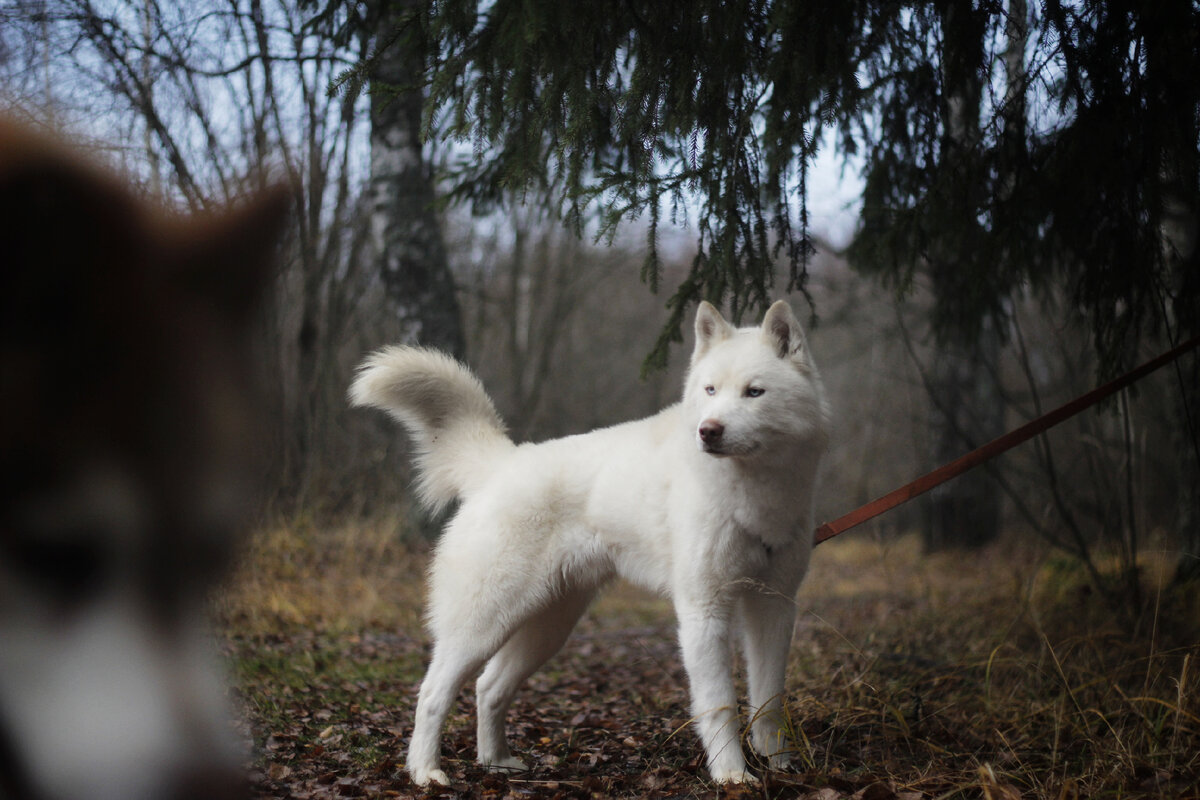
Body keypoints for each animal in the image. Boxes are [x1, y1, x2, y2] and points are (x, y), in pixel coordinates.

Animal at [350, 297, 830, 786]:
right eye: (711, 390)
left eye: (754, 392)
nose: (708, 430)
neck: (752, 494)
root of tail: (502, 463)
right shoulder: (704, 612)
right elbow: (721, 706)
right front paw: (732, 775)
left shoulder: (773, 607)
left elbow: (769, 701)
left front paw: (780, 765)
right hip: (484, 625)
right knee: (432, 693)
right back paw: (425, 771)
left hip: (547, 628)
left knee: (488, 687)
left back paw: (496, 762)